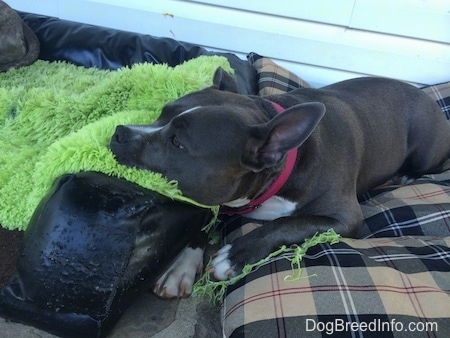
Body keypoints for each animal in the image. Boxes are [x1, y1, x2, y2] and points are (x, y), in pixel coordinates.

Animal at [109, 67, 450, 298]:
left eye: (177, 142)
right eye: (160, 114)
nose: (119, 131)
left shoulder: (344, 219)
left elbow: (288, 224)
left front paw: (235, 255)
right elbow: (204, 219)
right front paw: (181, 265)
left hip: (425, 148)